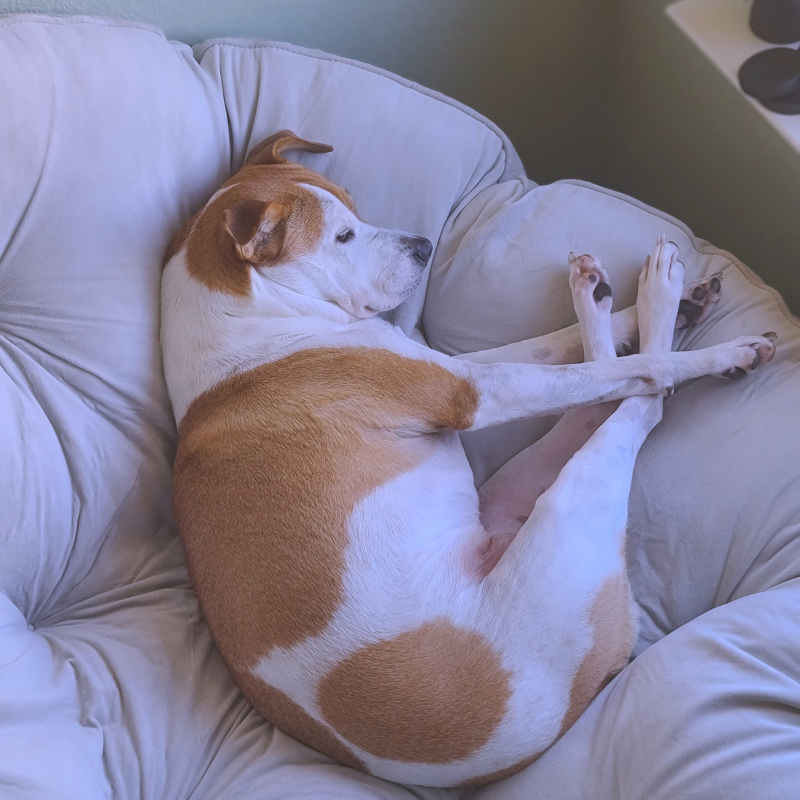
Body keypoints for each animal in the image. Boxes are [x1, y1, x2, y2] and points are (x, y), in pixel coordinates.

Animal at [159, 131, 780, 788]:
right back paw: (669, 304)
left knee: (592, 403)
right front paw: (708, 350)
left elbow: (556, 350)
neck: (245, 321)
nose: (424, 245)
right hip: (569, 513)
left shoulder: (461, 368)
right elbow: (629, 370)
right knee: (635, 405)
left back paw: (614, 295)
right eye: (343, 237)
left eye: (354, 204)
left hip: (514, 496)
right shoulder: (477, 392)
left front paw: (634, 310)